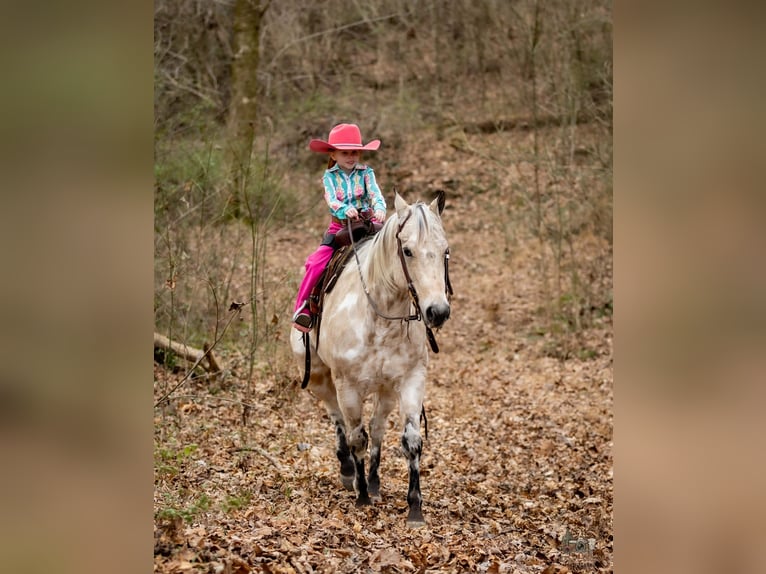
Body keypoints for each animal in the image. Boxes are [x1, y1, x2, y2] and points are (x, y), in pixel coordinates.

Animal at [290, 192, 452, 526]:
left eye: (445, 251)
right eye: (407, 251)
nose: (438, 312)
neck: (380, 317)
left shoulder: (411, 380)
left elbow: (411, 441)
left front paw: (414, 507)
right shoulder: (347, 386)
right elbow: (356, 437)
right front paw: (362, 494)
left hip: (386, 389)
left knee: (377, 428)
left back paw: (374, 482)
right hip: (320, 378)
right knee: (337, 417)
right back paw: (348, 471)